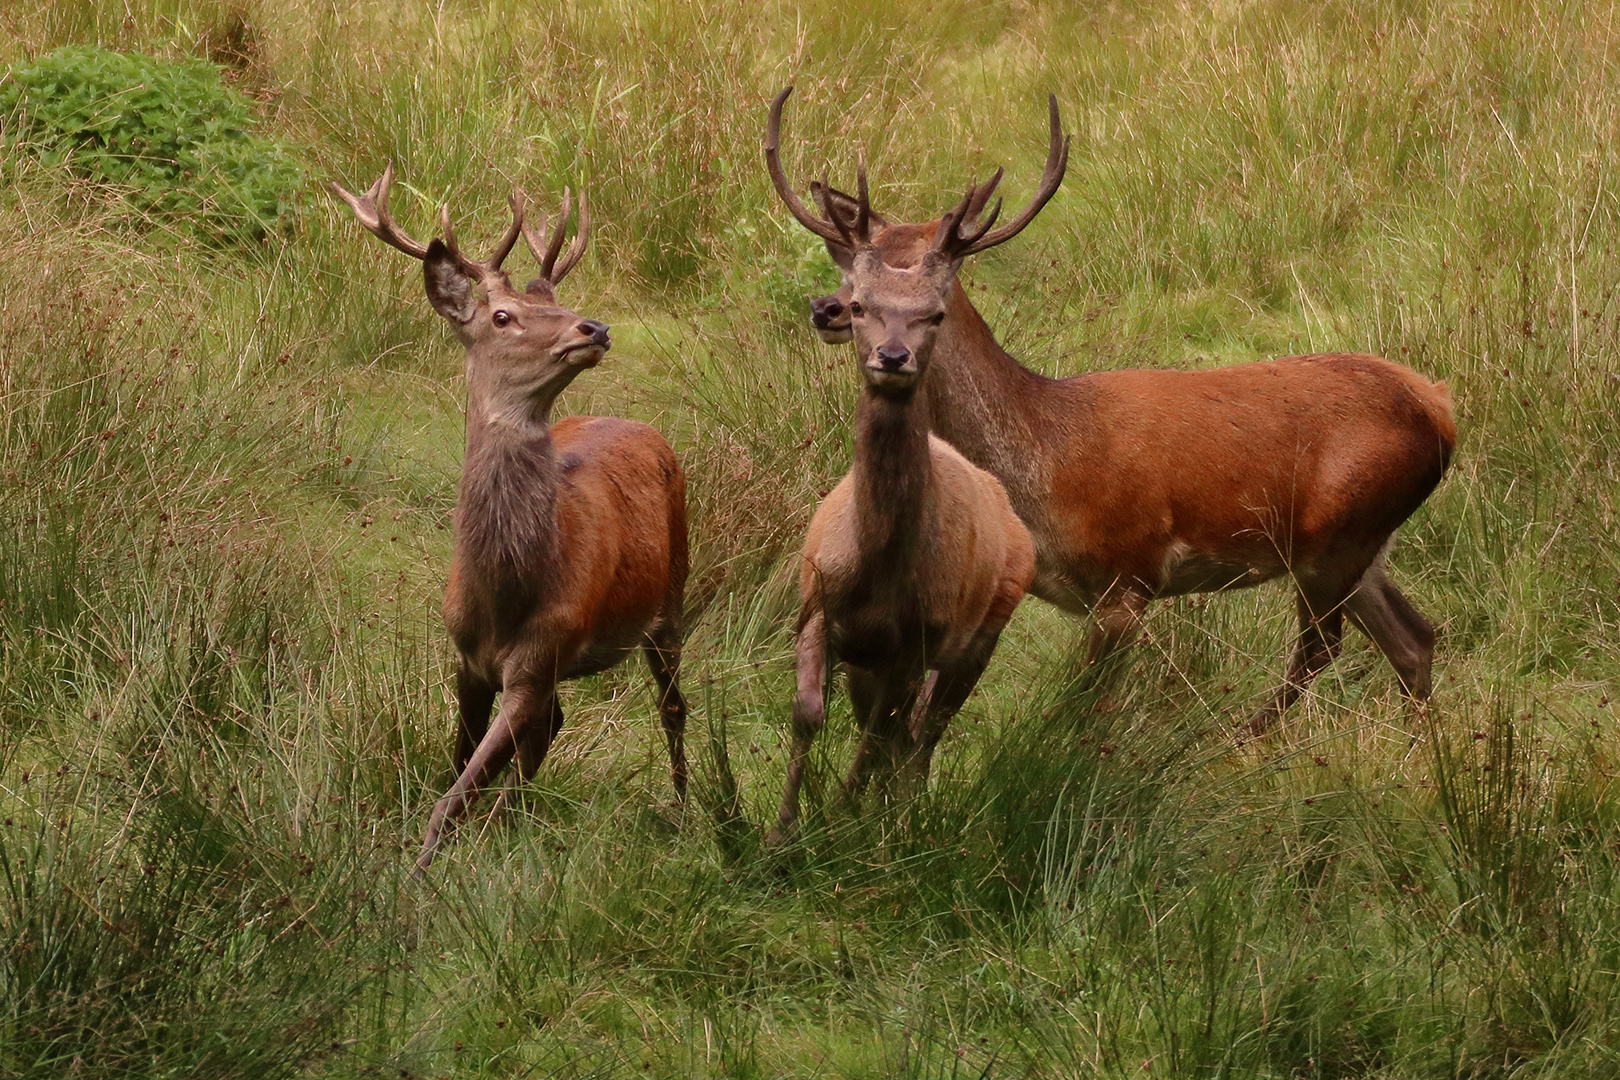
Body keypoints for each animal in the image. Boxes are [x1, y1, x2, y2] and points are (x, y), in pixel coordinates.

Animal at [332, 169, 686, 880]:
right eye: (502, 315)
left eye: (561, 302)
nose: (593, 326)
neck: (505, 594)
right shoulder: (469, 661)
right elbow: (454, 772)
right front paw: (433, 856)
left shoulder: (540, 653)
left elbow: (455, 792)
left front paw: (420, 872)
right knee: (552, 727)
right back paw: (512, 816)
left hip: (674, 593)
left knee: (671, 709)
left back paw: (692, 811)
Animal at [761, 135, 1036, 848]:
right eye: (861, 305)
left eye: (934, 314)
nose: (891, 357)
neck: (877, 565)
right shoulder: (816, 607)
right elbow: (808, 713)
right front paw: (781, 833)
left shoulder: (916, 640)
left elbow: (880, 741)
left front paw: (842, 823)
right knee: (899, 735)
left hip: (984, 631)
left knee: (920, 736)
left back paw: (903, 820)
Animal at [767, 86, 1458, 735]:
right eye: (851, 272)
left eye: (931, 295)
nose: (827, 309)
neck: (1043, 466)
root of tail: (1440, 408)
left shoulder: (1129, 576)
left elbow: (1081, 714)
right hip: (1363, 545)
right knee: (1414, 638)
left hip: (1338, 536)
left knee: (1323, 649)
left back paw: (1237, 740)